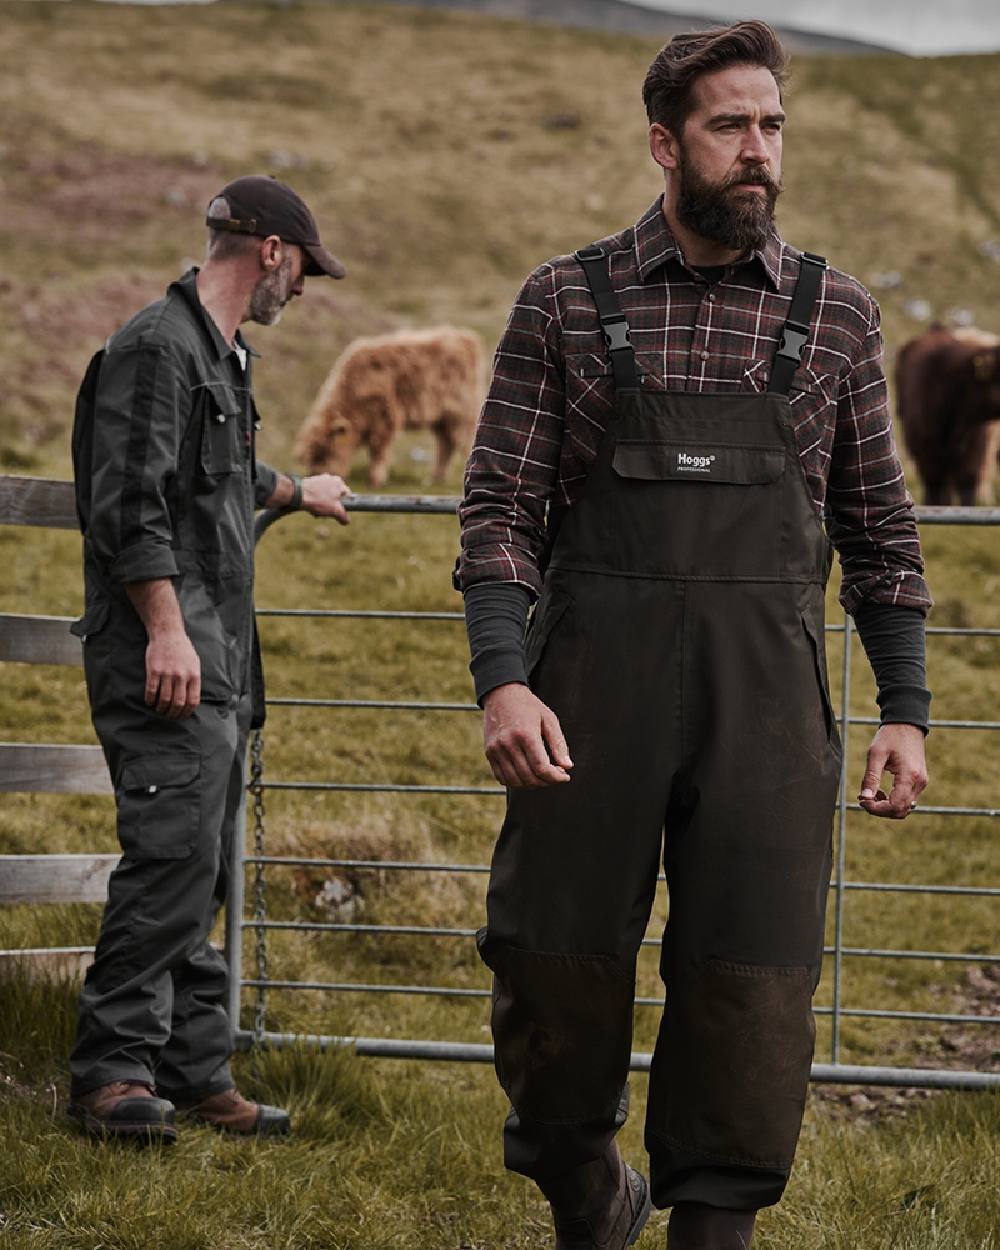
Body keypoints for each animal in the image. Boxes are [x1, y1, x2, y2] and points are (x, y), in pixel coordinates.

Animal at [292, 327, 485, 487]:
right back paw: (435, 478)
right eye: (312, 459)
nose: (319, 477)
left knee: (464, 442)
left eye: (325, 452)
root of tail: (467, 338)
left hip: (462, 415)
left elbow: (378, 452)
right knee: (445, 445)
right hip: (442, 419)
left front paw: (375, 480)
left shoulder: (383, 420)